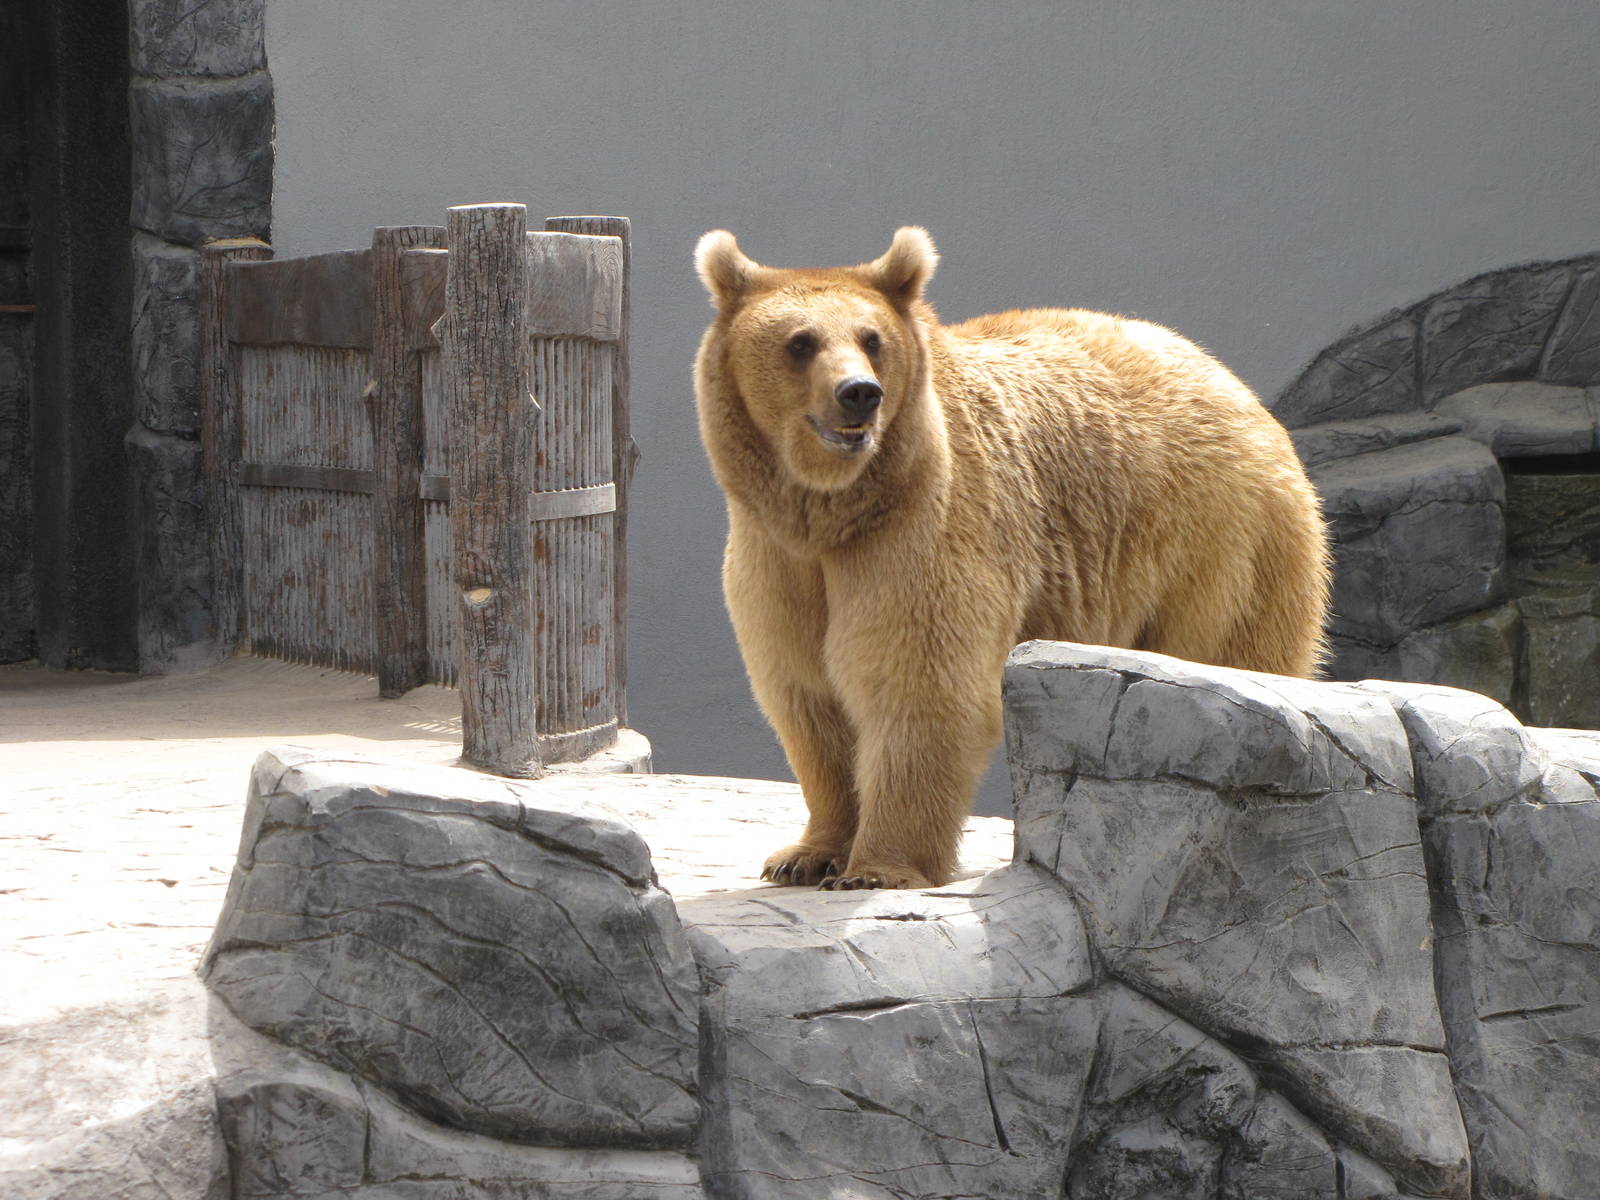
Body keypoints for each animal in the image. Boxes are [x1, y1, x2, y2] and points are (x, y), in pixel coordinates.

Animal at [693, 227, 1329, 891]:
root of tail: (1237, 384)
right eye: (801, 342)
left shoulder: (923, 529)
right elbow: (808, 697)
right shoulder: (777, 558)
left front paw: (877, 869)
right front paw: (804, 855)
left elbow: (920, 682)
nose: (859, 394)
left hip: (1222, 537)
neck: (832, 511)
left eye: (871, 339)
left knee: (1229, 650)